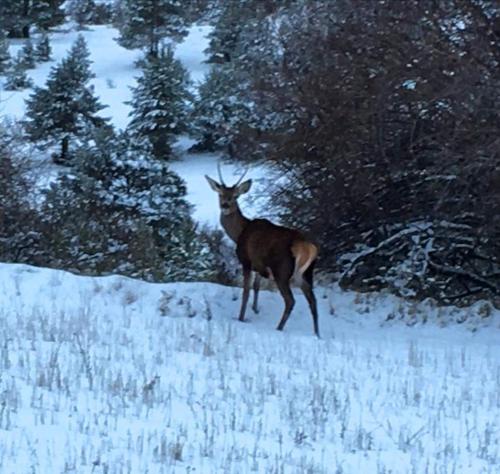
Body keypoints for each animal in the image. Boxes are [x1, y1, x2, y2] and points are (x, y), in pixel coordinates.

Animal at [206, 167, 320, 336]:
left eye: (235, 196)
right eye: (220, 194)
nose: (225, 205)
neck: (239, 233)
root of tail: (305, 247)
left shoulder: (246, 261)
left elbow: (246, 291)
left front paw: (241, 318)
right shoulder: (260, 266)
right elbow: (256, 286)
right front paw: (255, 309)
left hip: (282, 271)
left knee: (290, 300)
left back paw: (279, 328)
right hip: (305, 274)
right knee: (312, 300)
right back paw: (317, 334)